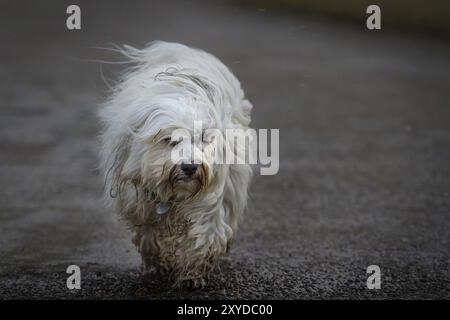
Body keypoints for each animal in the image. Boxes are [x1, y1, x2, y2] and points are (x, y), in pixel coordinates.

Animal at [99, 41, 253, 288]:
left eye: (203, 138)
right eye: (170, 140)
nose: (190, 167)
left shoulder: (210, 201)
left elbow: (203, 238)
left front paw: (192, 275)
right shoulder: (142, 203)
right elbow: (148, 235)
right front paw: (159, 264)